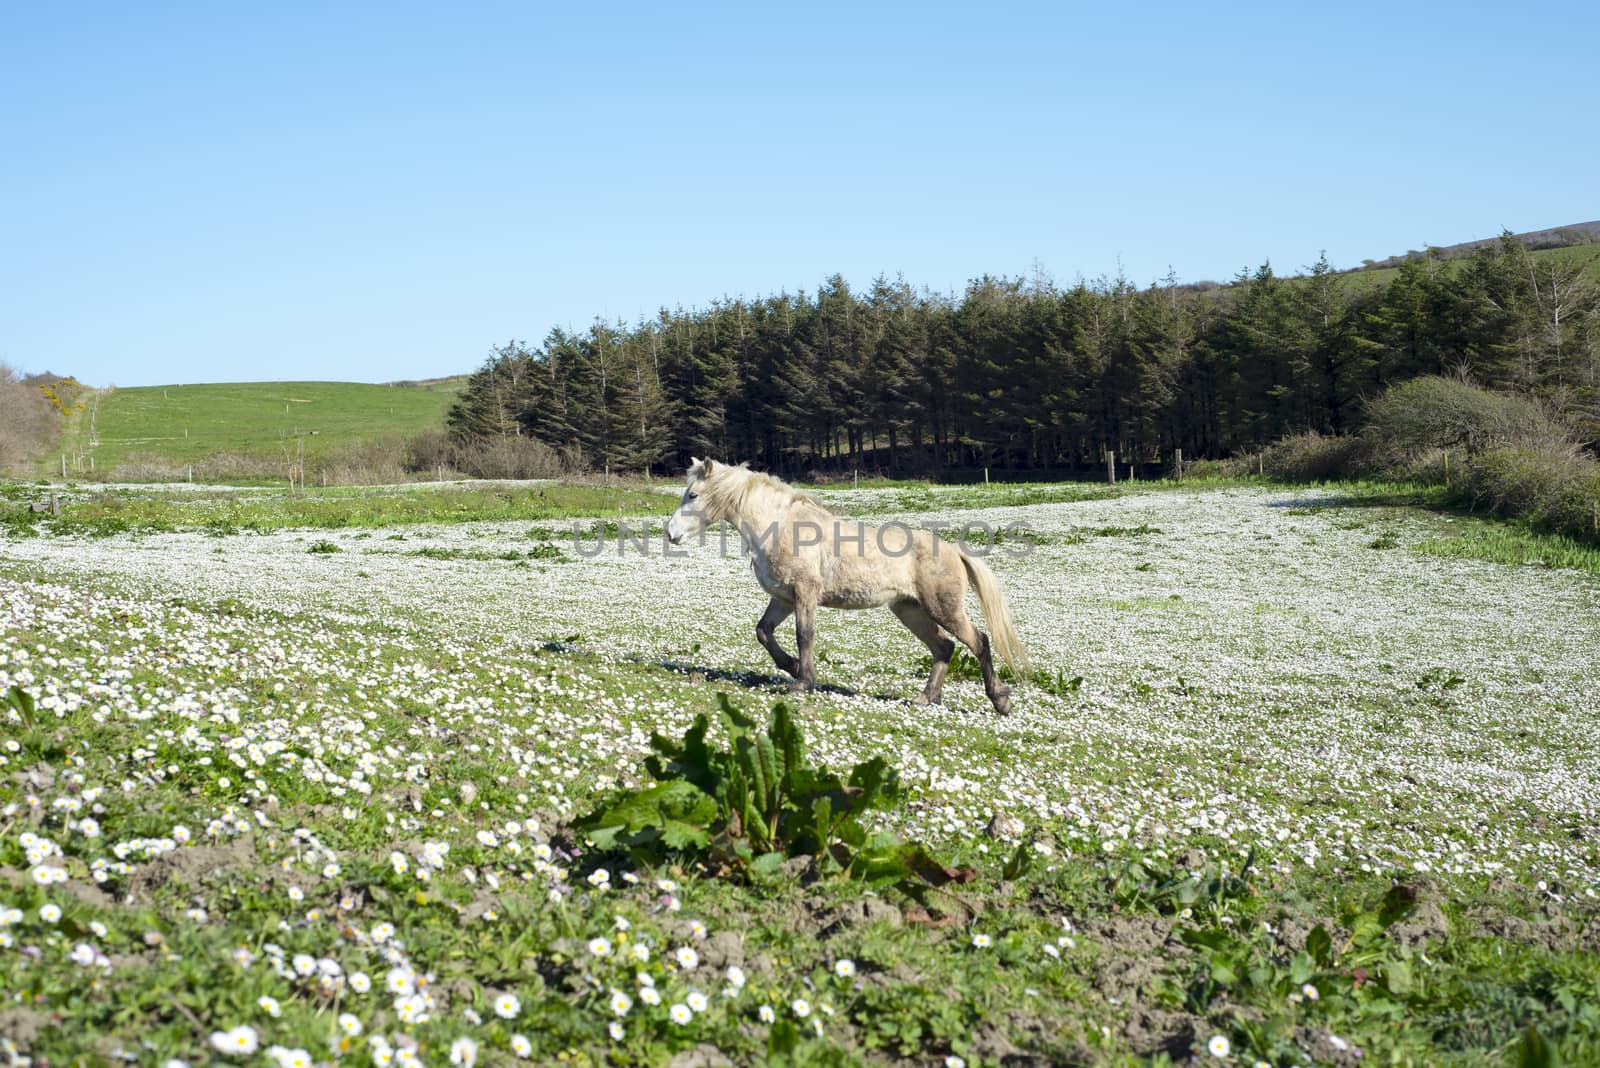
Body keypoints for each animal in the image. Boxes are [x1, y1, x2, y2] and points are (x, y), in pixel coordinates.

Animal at [659, 457, 1024, 713]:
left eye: (693, 495)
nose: (671, 533)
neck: (781, 528)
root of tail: (954, 551)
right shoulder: (784, 598)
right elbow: (764, 632)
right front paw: (793, 668)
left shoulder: (804, 594)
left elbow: (804, 635)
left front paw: (803, 682)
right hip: (909, 611)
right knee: (944, 648)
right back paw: (925, 699)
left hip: (943, 609)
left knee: (979, 642)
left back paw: (1000, 701)